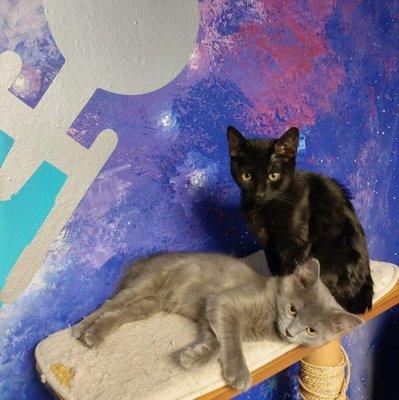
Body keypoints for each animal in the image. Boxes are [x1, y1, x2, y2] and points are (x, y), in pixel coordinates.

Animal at [73, 253, 364, 390]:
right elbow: (232, 341)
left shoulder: (208, 316)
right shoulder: (223, 302)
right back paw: (83, 330)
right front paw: (239, 373)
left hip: (150, 304)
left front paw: (192, 357)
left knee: (120, 314)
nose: (291, 333)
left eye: (311, 330)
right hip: (148, 283)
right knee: (110, 304)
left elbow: (215, 344)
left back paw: (95, 333)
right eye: (293, 309)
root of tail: (149, 259)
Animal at [228, 125, 376, 312]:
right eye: (247, 176)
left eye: (273, 175)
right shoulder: (268, 244)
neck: (266, 209)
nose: (260, 194)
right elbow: (275, 268)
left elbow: (288, 273)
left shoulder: (298, 244)